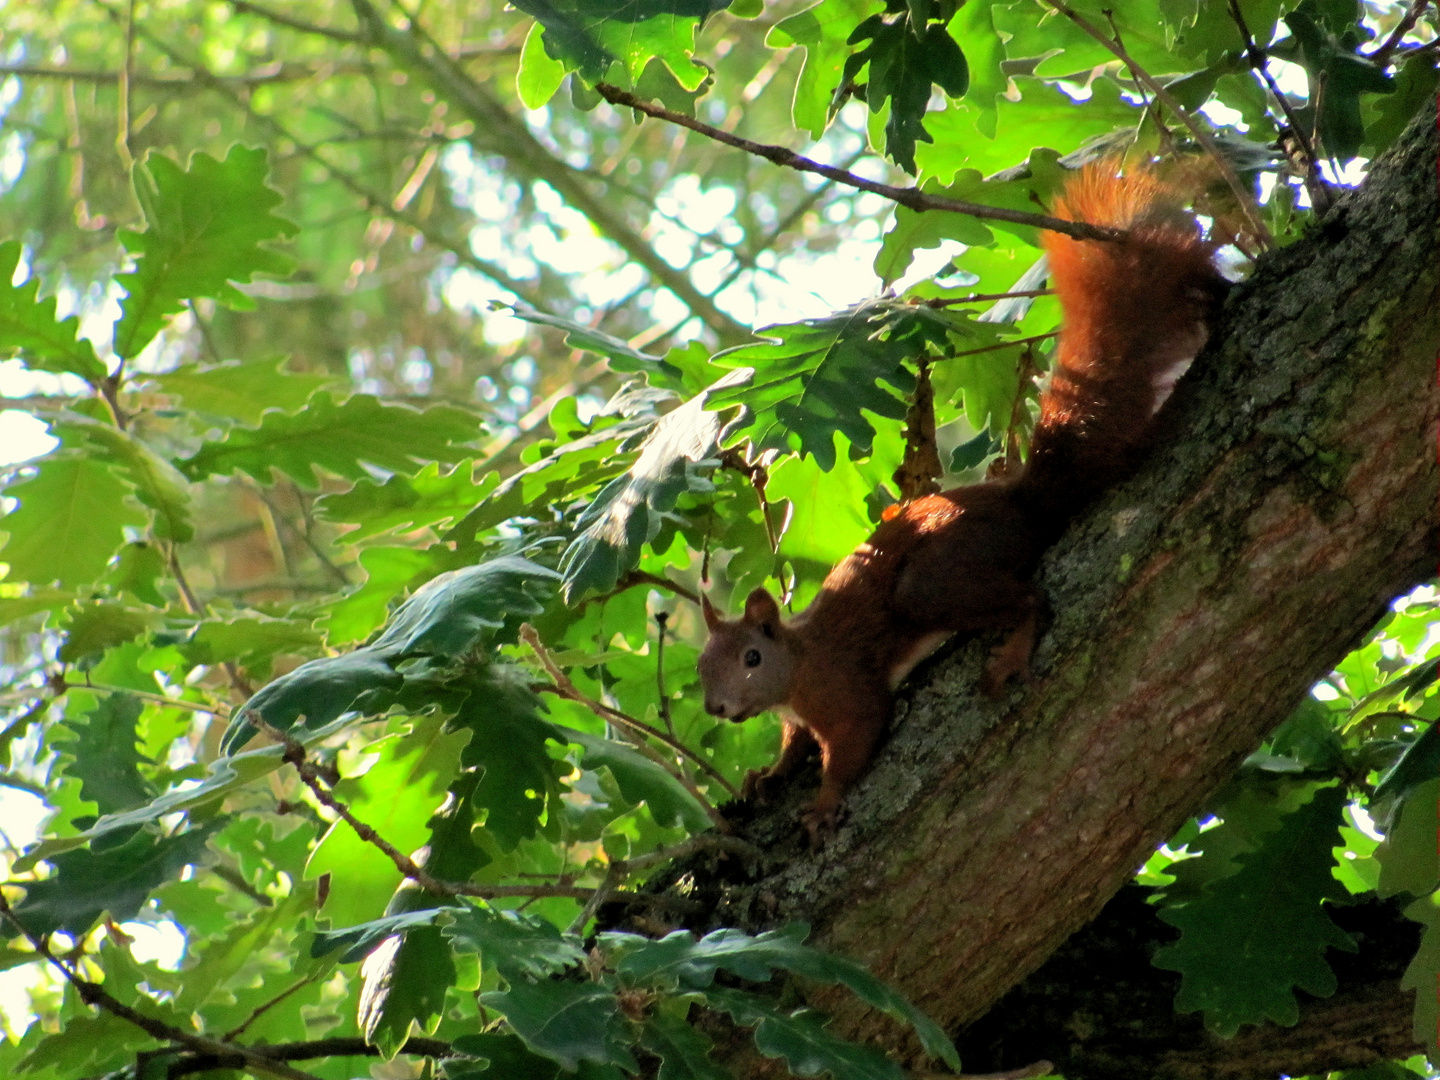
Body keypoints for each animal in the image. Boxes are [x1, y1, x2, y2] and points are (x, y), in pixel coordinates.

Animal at [694, 167, 1226, 846]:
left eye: (752, 658)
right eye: (702, 666)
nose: (717, 706)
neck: (799, 663)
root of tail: (1022, 499)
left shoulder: (844, 689)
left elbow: (856, 738)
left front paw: (822, 803)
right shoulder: (796, 715)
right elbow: (793, 747)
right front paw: (767, 774)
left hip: (940, 575)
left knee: (1029, 598)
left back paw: (1014, 650)